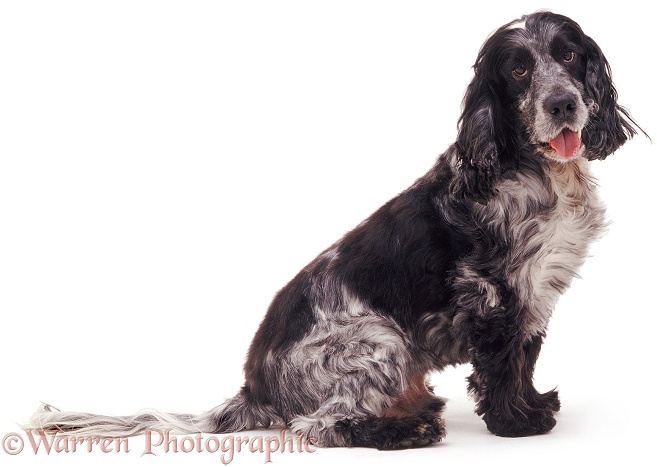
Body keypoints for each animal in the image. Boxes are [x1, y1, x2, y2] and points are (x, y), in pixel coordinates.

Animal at [24, 11, 640, 450]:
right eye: (518, 69)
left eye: (568, 55)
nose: (562, 104)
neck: (534, 169)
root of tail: (255, 389)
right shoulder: (492, 292)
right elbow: (502, 363)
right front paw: (517, 424)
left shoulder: (535, 290)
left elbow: (524, 358)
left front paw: (534, 406)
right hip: (378, 340)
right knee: (320, 425)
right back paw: (409, 430)